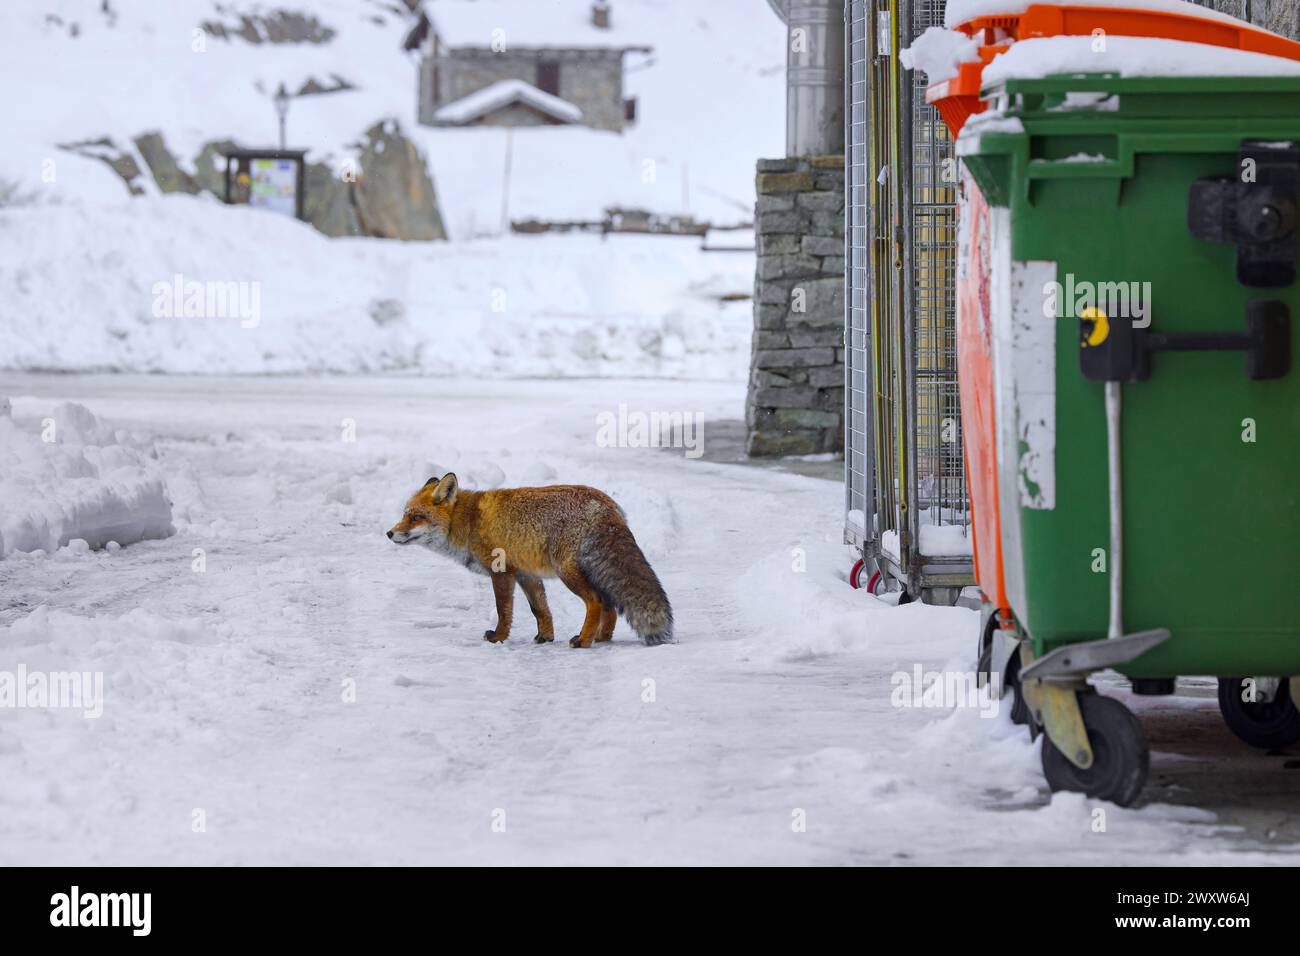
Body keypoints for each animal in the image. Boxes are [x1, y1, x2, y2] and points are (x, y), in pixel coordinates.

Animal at [387, 474, 674, 648]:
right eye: (404, 514)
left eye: (415, 517)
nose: (389, 533)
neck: (469, 522)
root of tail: (607, 506)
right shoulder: (527, 575)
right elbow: (540, 610)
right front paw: (545, 637)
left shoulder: (502, 571)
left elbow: (504, 611)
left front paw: (498, 638)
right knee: (609, 605)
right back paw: (601, 637)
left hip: (567, 572)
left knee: (595, 601)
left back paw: (583, 640)